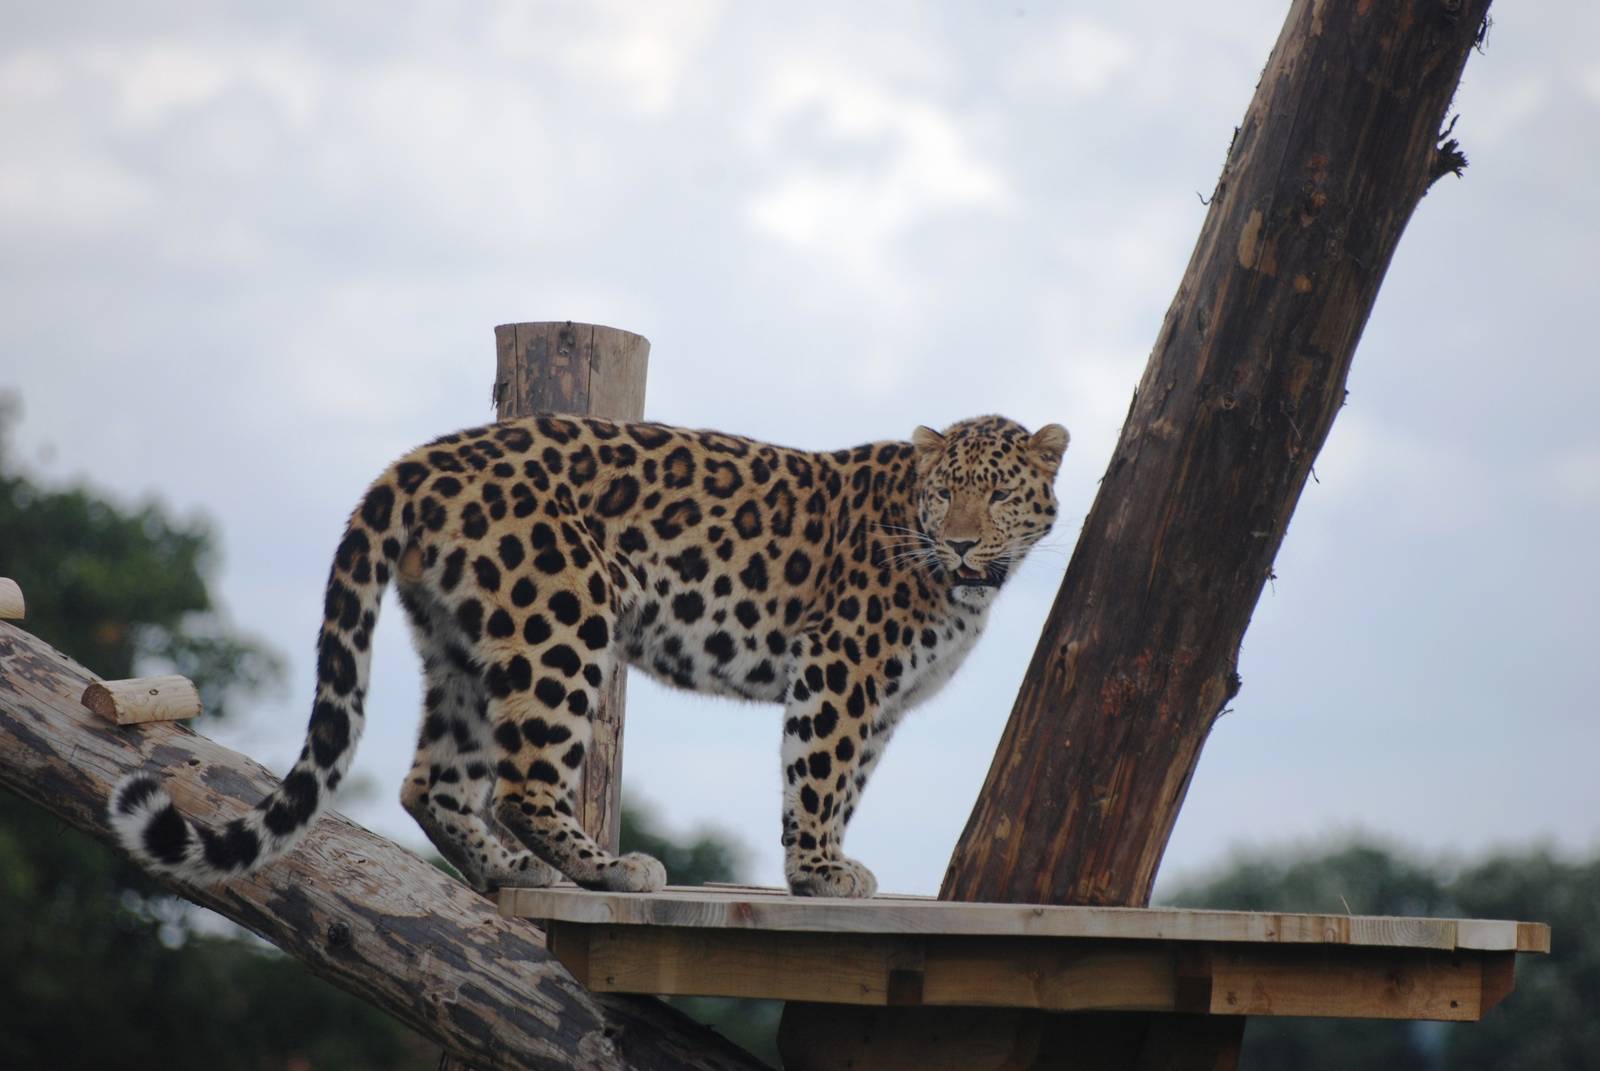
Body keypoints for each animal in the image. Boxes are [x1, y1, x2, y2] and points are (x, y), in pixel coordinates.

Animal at [111, 413, 1068, 898]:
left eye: (997, 496)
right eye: (945, 493)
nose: (960, 543)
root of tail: (419, 458)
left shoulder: (885, 699)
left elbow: (847, 778)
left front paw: (822, 863)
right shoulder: (842, 667)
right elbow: (820, 771)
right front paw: (819, 871)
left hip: (463, 643)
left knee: (434, 781)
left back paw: (513, 869)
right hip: (564, 620)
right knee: (524, 782)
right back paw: (609, 867)